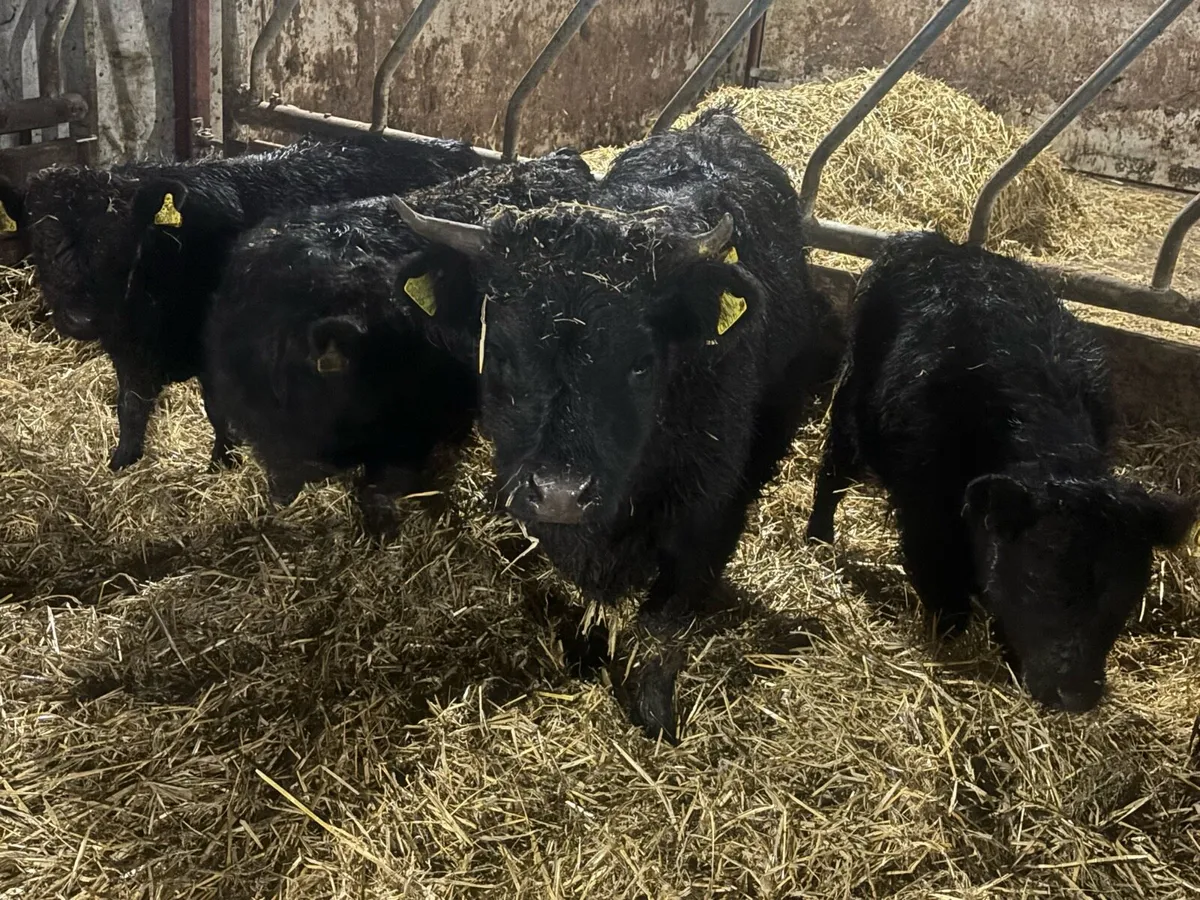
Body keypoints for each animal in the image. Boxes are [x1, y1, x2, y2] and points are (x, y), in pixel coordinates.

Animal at [5, 132, 481, 471]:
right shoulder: (128, 350)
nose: (81, 318)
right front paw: (123, 461)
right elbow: (131, 407)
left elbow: (217, 409)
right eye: (41, 240)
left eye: (121, 245)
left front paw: (222, 462)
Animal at [389, 109, 843, 736]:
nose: (560, 492)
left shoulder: (707, 519)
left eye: (640, 363)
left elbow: (661, 624)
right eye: (499, 352)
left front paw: (654, 712)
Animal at [806, 231, 1196, 712]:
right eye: (1037, 577)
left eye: (1125, 591)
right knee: (833, 472)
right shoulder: (924, 508)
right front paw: (949, 640)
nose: (1074, 693)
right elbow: (941, 580)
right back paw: (817, 539)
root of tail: (937, 244)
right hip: (851, 401)